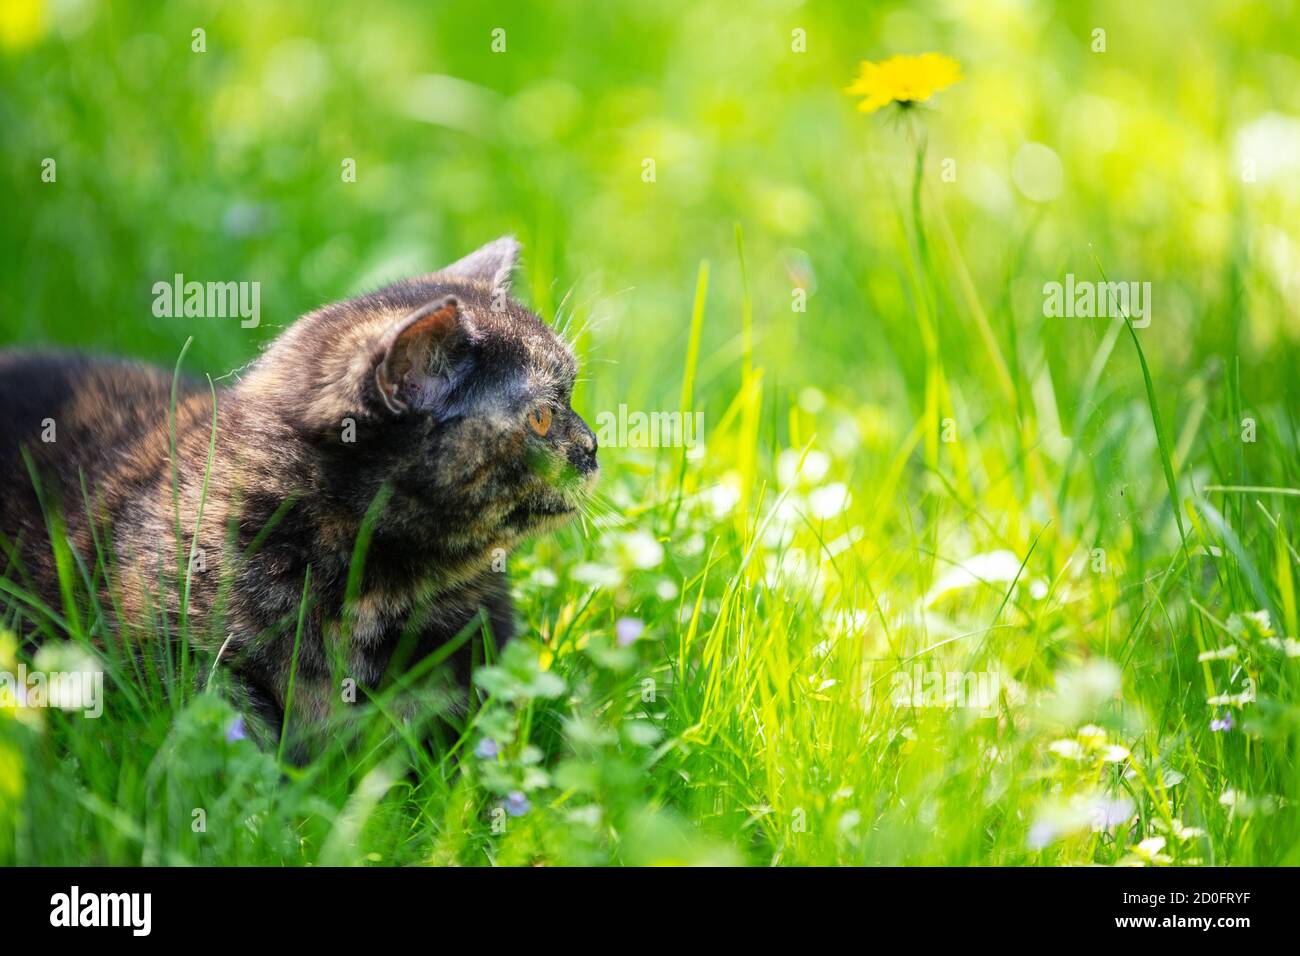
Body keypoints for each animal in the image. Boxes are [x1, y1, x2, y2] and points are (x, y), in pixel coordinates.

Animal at [0, 238, 598, 754]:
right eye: (543, 418)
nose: (594, 447)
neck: (368, 587)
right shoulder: (165, 650)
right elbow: (230, 736)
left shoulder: (473, 654)